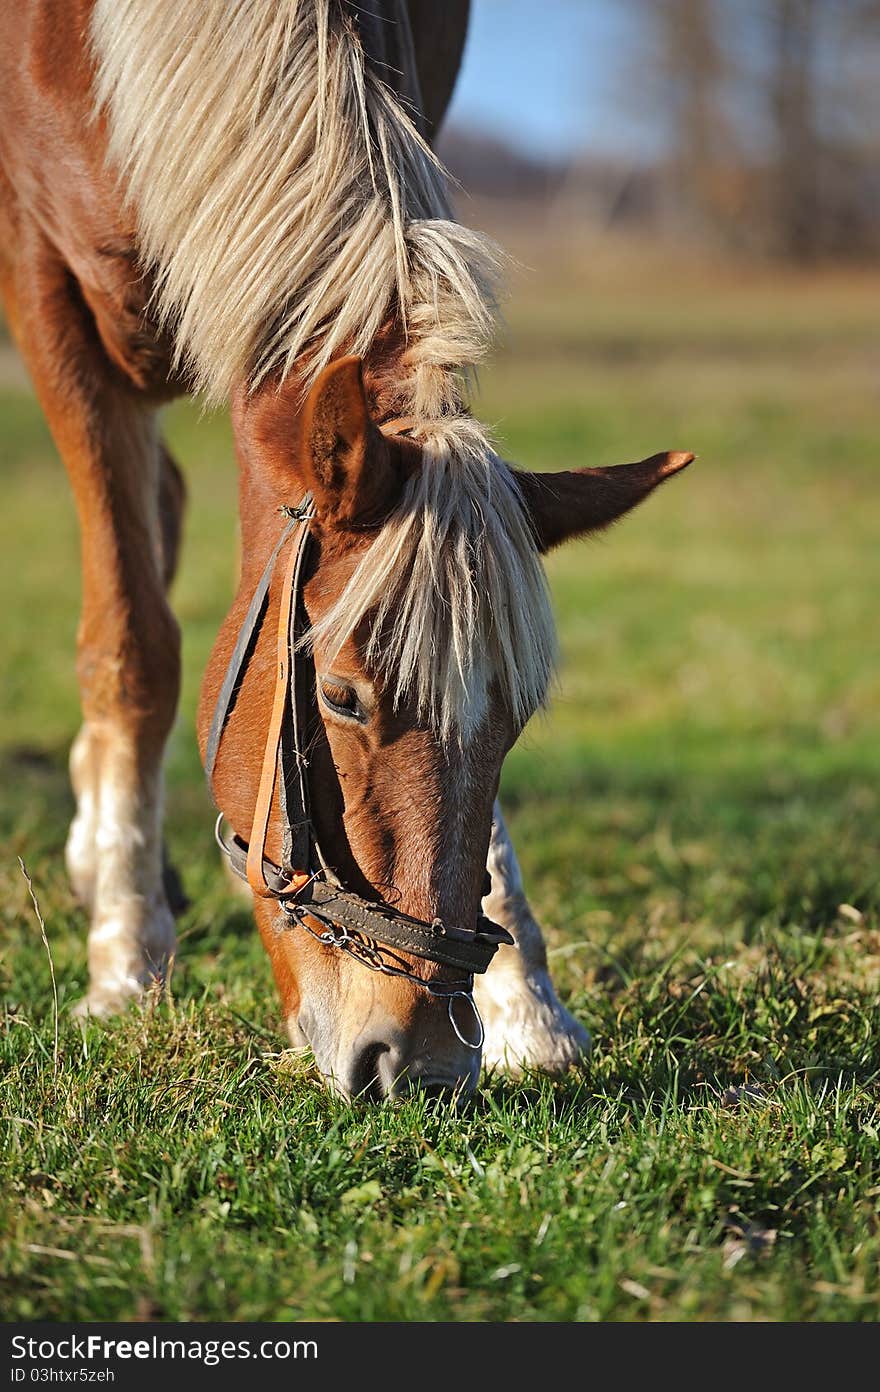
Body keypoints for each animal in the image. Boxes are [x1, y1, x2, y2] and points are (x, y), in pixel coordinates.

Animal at [0, 5, 690, 1102]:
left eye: (517, 720)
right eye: (340, 699)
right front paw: (125, 959)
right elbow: (133, 646)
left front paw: (526, 1008)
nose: (425, 1061)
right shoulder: (47, 296)